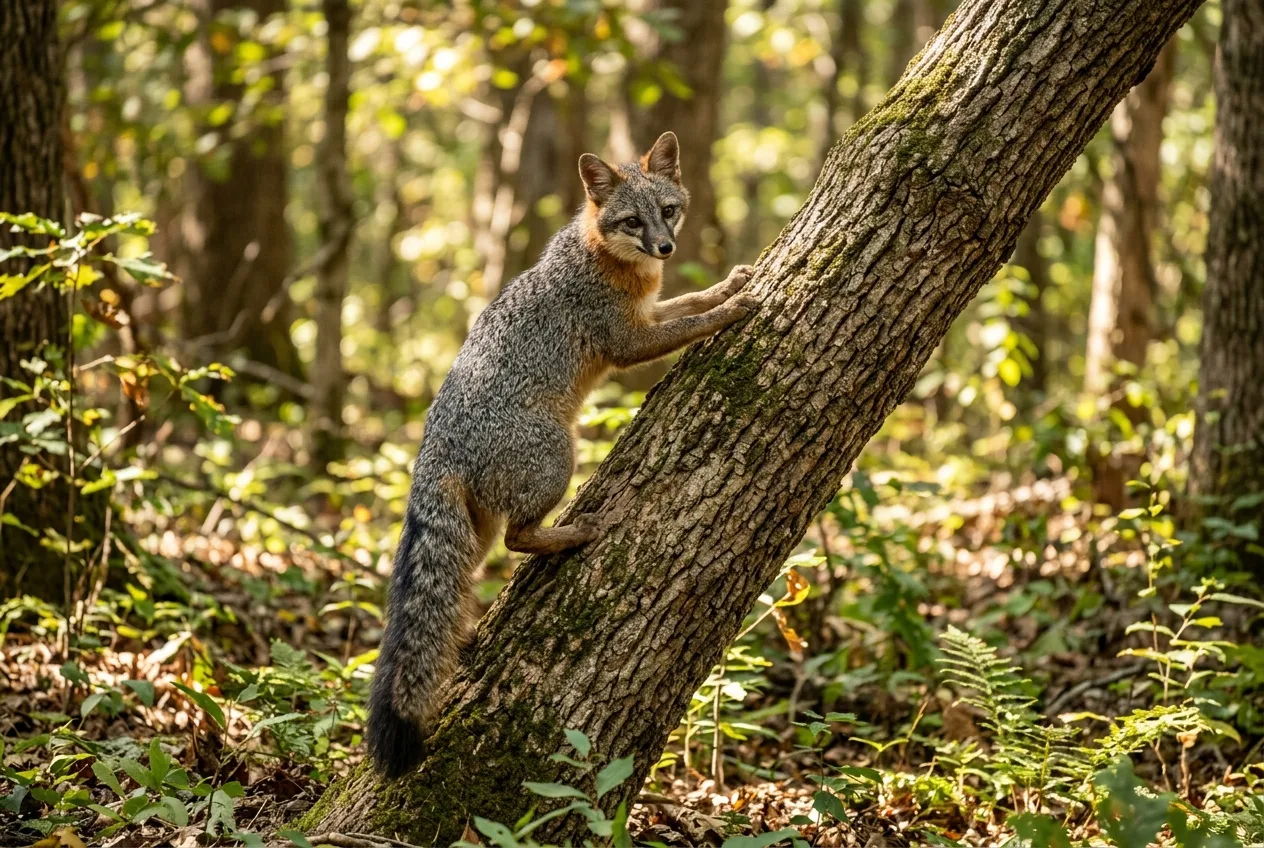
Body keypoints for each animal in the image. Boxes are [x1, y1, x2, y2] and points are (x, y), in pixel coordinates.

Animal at [366, 131, 757, 778]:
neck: (608, 260)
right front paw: (729, 311)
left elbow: (689, 298)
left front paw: (729, 285)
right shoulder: (627, 341)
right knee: (519, 538)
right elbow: (691, 321)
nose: (666, 247)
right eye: (632, 221)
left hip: (472, 543)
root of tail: (433, 449)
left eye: (668, 211)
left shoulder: (648, 312)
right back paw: (576, 533)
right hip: (558, 460)